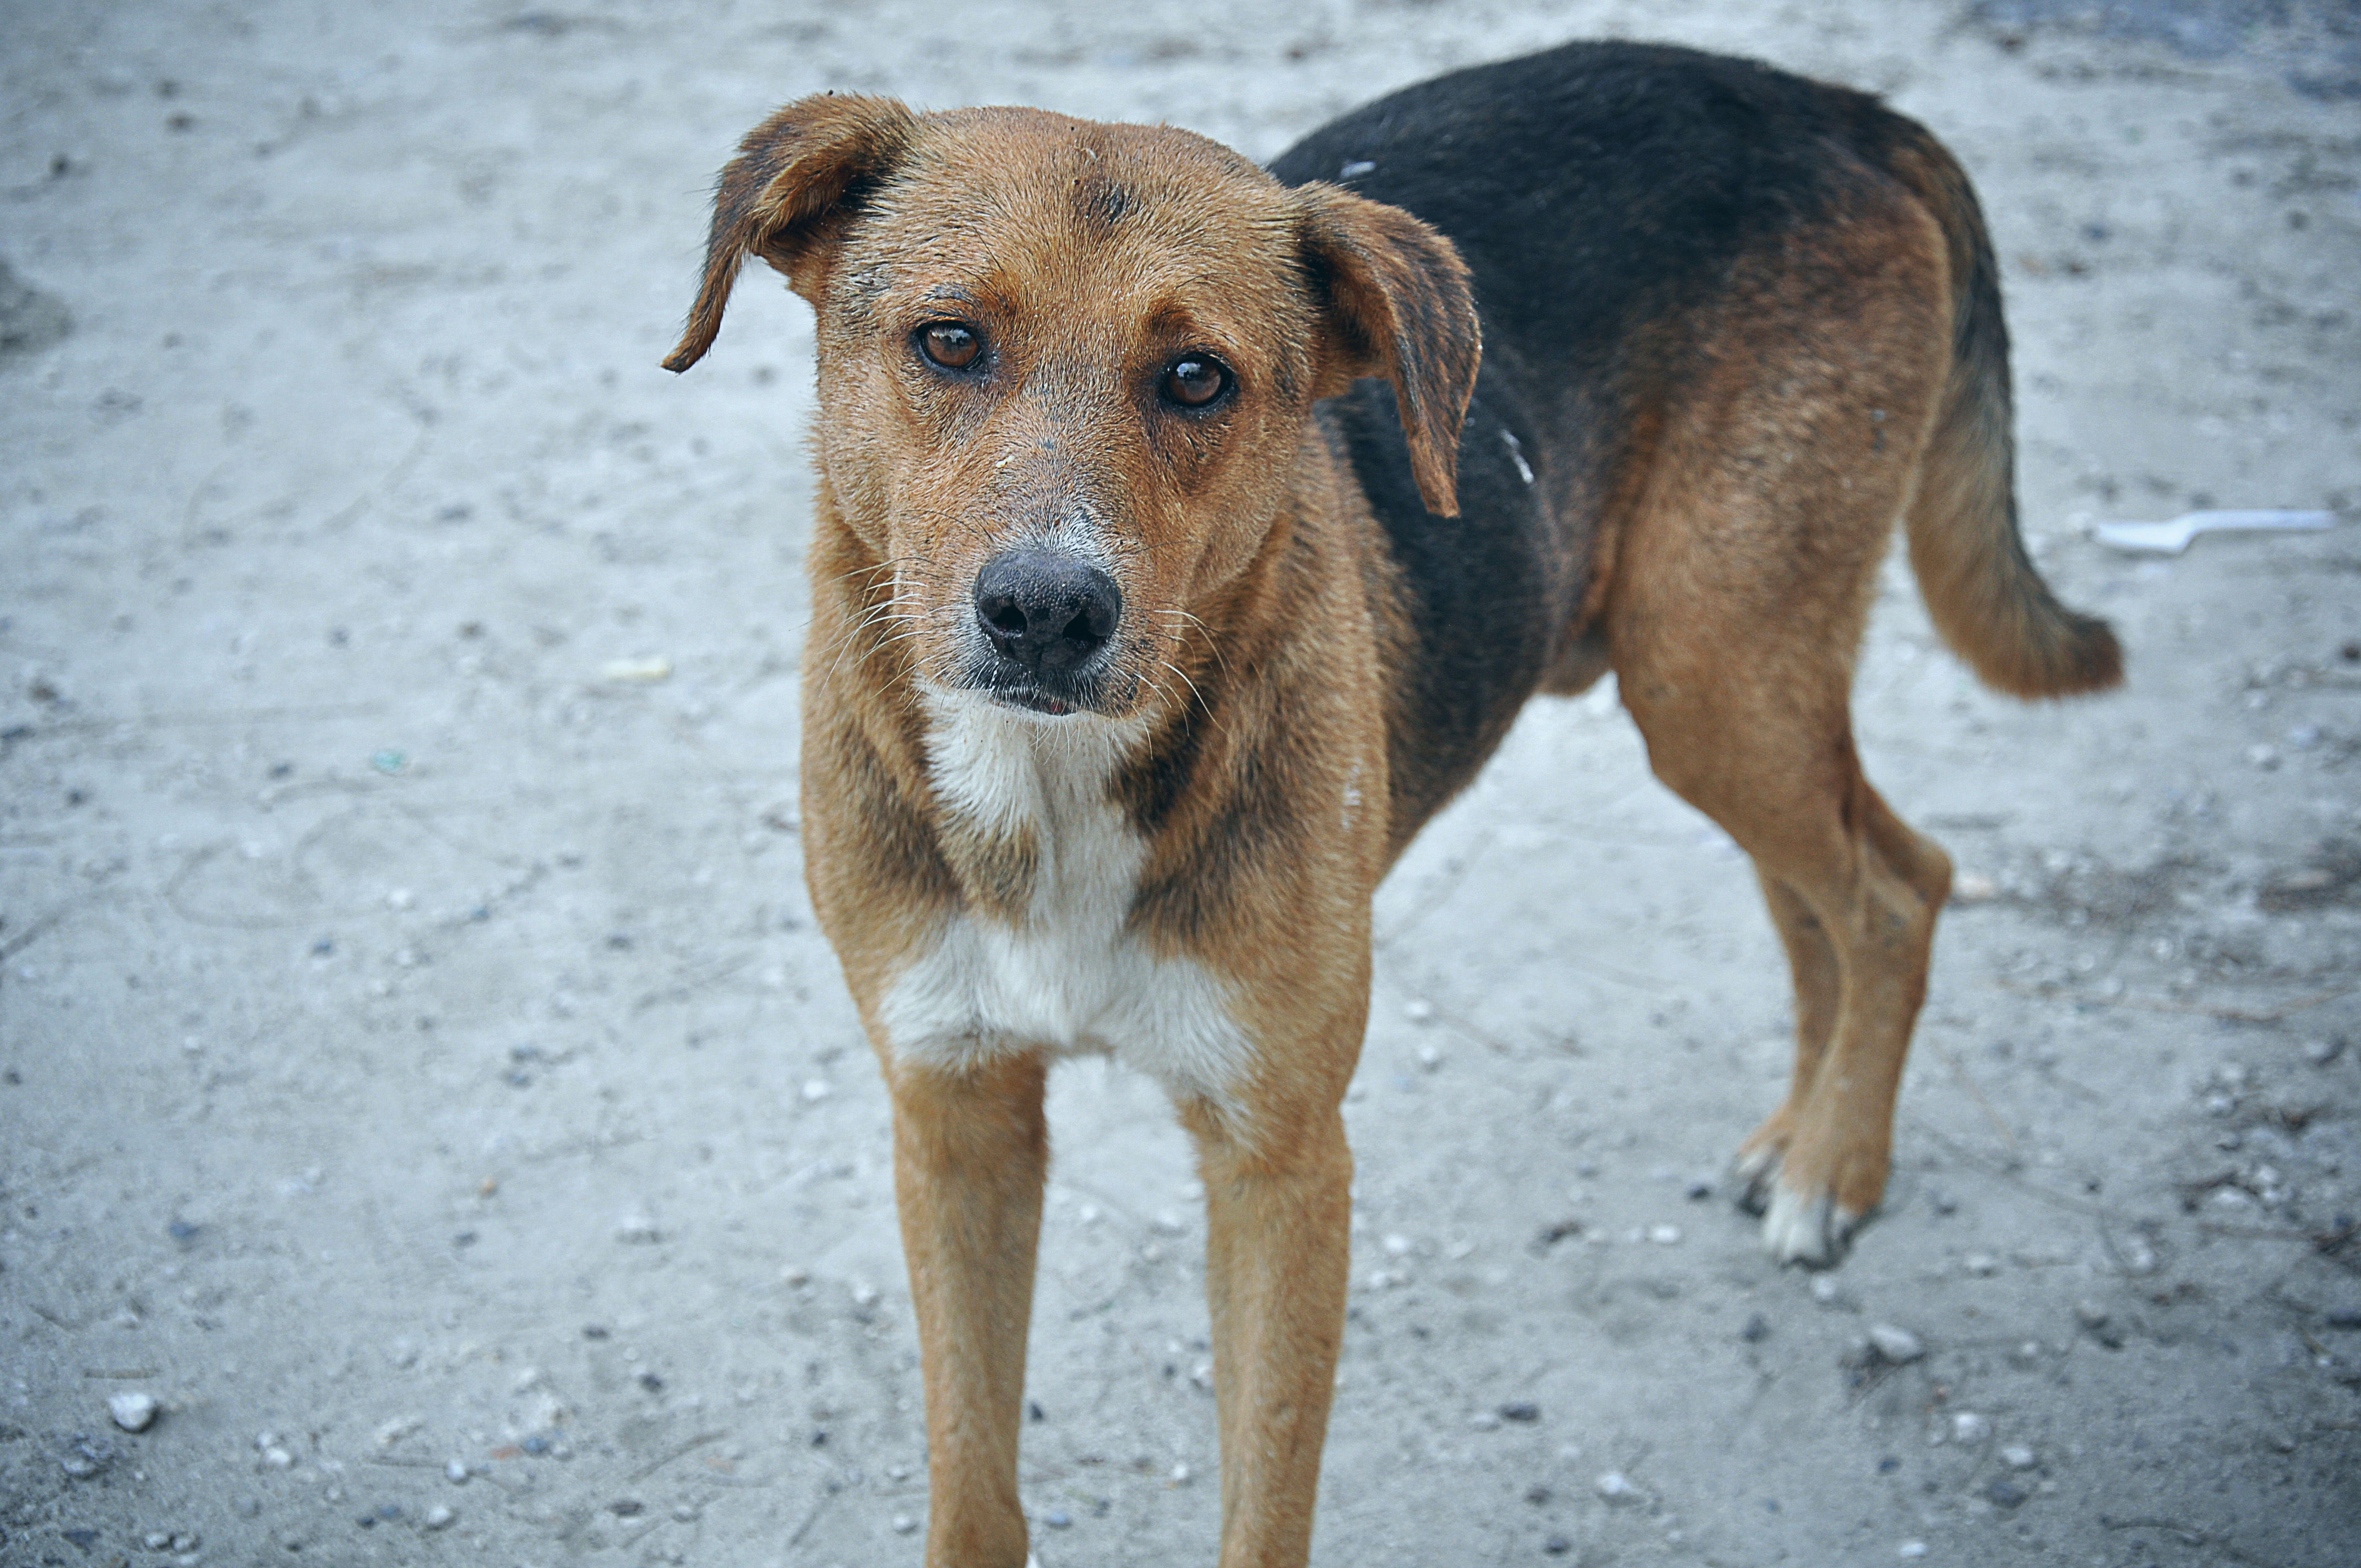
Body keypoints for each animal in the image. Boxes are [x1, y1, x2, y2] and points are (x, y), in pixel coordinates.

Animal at [661, 42, 2125, 1567]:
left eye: (1197, 377)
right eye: (949, 342)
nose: (1047, 613)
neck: (1051, 789)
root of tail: (1829, 103)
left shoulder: (1282, 1160)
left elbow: (1263, 1504)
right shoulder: (955, 1118)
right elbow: (971, 1483)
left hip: (1715, 671)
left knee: (1899, 883)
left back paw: (1834, 1164)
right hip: (1721, 689)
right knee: (1826, 894)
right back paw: (1803, 1132)